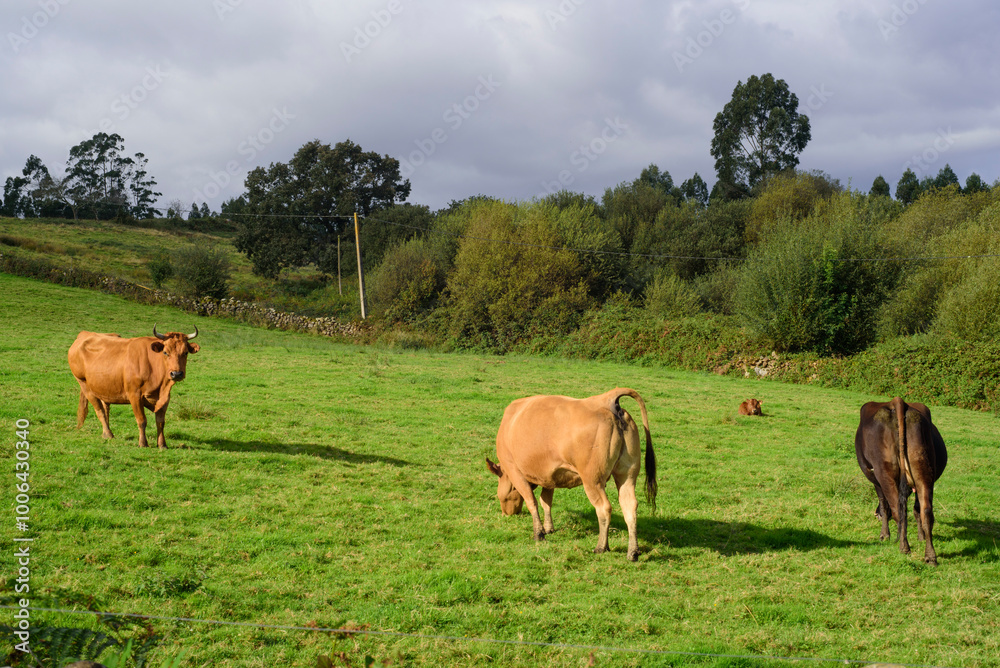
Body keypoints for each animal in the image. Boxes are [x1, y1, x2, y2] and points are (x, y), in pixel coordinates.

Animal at [68, 325, 200, 449]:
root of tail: (84, 334)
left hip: (104, 387)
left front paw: (162, 444)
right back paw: (108, 434)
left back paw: (106, 433)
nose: (176, 374)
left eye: (185, 353)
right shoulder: (134, 395)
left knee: (106, 408)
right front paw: (143, 443)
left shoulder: (165, 397)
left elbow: (160, 422)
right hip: (84, 385)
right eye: (165, 352)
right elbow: (141, 420)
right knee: (99, 410)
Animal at [485, 388, 656, 561]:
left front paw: (539, 533)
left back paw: (601, 547)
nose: (507, 514)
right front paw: (548, 528)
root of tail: (605, 399)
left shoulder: (514, 469)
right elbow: (545, 501)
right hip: (627, 475)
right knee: (630, 506)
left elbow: (531, 501)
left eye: (502, 497)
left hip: (592, 480)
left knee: (604, 508)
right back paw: (633, 552)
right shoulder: (549, 476)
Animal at [855, 396, 947, 565]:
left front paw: (884, 535)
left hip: (884, 473)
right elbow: (917, 509)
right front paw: (921, 537)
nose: (875, 515)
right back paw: (930, 556)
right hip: (923, 470)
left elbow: (884, 505)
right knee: (926, 511)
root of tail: (897, 401)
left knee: (898, 510)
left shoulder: (876, 481)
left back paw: (904, 547)